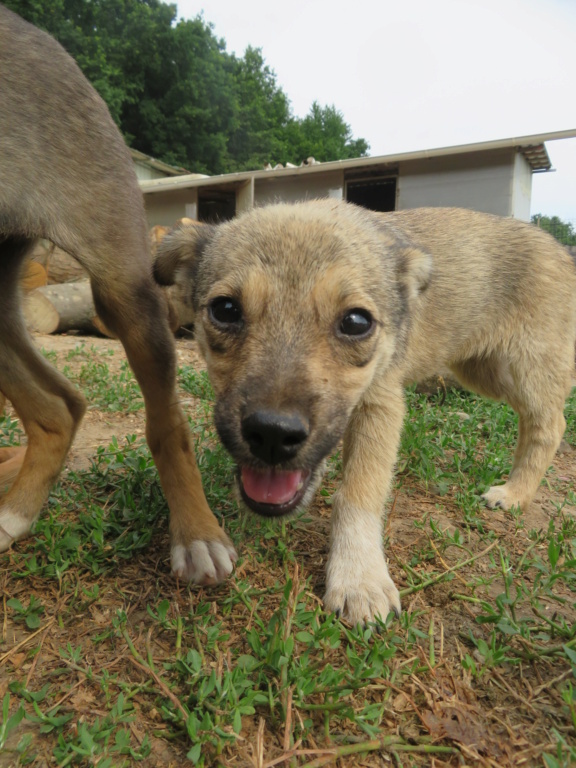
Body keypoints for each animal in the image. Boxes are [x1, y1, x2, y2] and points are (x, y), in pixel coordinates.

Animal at [155, 198, 576, 624]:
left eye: (357, 322)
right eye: (225, 309)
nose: (273, 434)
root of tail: (560, 250)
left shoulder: (381, 402)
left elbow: (360, 492)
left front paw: (359, 578)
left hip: (523, 367)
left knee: (550, 425)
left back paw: (515, 493)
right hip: (482, 370)